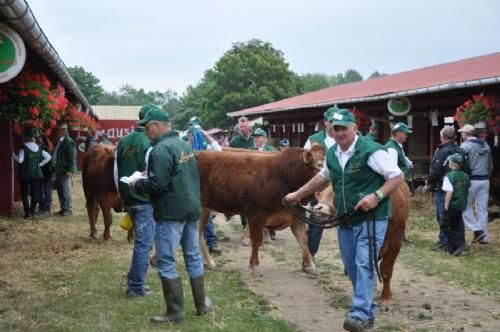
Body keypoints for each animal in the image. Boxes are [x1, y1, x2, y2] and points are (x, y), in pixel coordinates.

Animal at [197, 147, 326, 276]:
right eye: (319, 164)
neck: (284, 175)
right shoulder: (257, 214)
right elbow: (256, 240)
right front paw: (254, 266)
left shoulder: (295, 216)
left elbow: (303, 240)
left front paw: (311, 266)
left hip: (204, 210)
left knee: (198, 234)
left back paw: (208, 262)